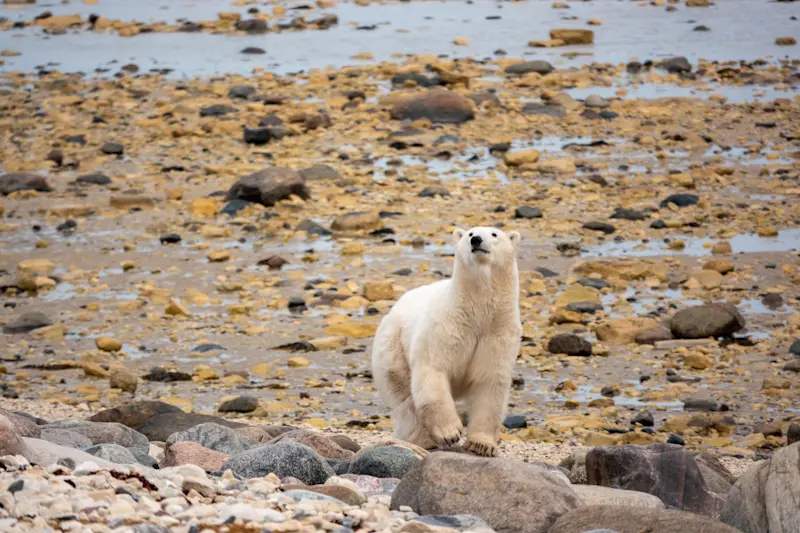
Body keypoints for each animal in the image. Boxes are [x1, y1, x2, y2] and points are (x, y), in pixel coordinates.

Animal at [371, 226, 522, 457]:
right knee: (404, 398)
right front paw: (450, 433)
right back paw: (424, 440)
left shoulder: (498, 331)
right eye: (470, 234)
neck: (477, 311)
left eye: (495, 234)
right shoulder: (445, 326)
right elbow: (433, 370)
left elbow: (489, 384)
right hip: (393, 347)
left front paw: (482, 445)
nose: (477, 240)